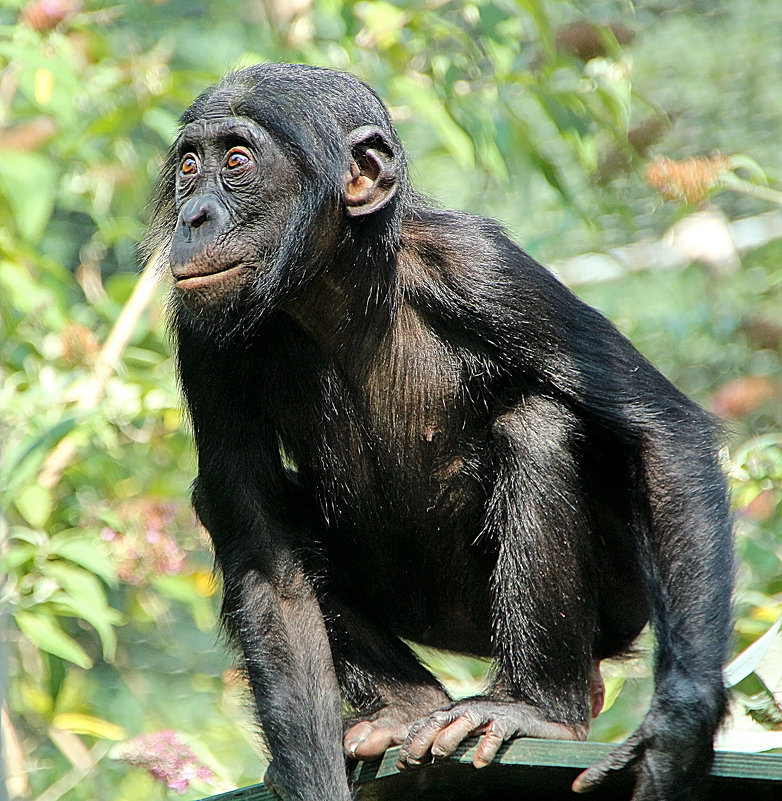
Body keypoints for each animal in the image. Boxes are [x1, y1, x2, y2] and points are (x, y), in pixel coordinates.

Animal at [145, 64, 736, 800]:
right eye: (189, 166)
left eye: (236, 161)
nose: (195, 214)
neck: (336, 283)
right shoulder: (203, 338)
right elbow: (264, 550)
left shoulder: (486, 269)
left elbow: (660, 429)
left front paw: (677, 734)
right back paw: (405, 706)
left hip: (607, 606)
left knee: (538, 422)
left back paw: (537, 706)